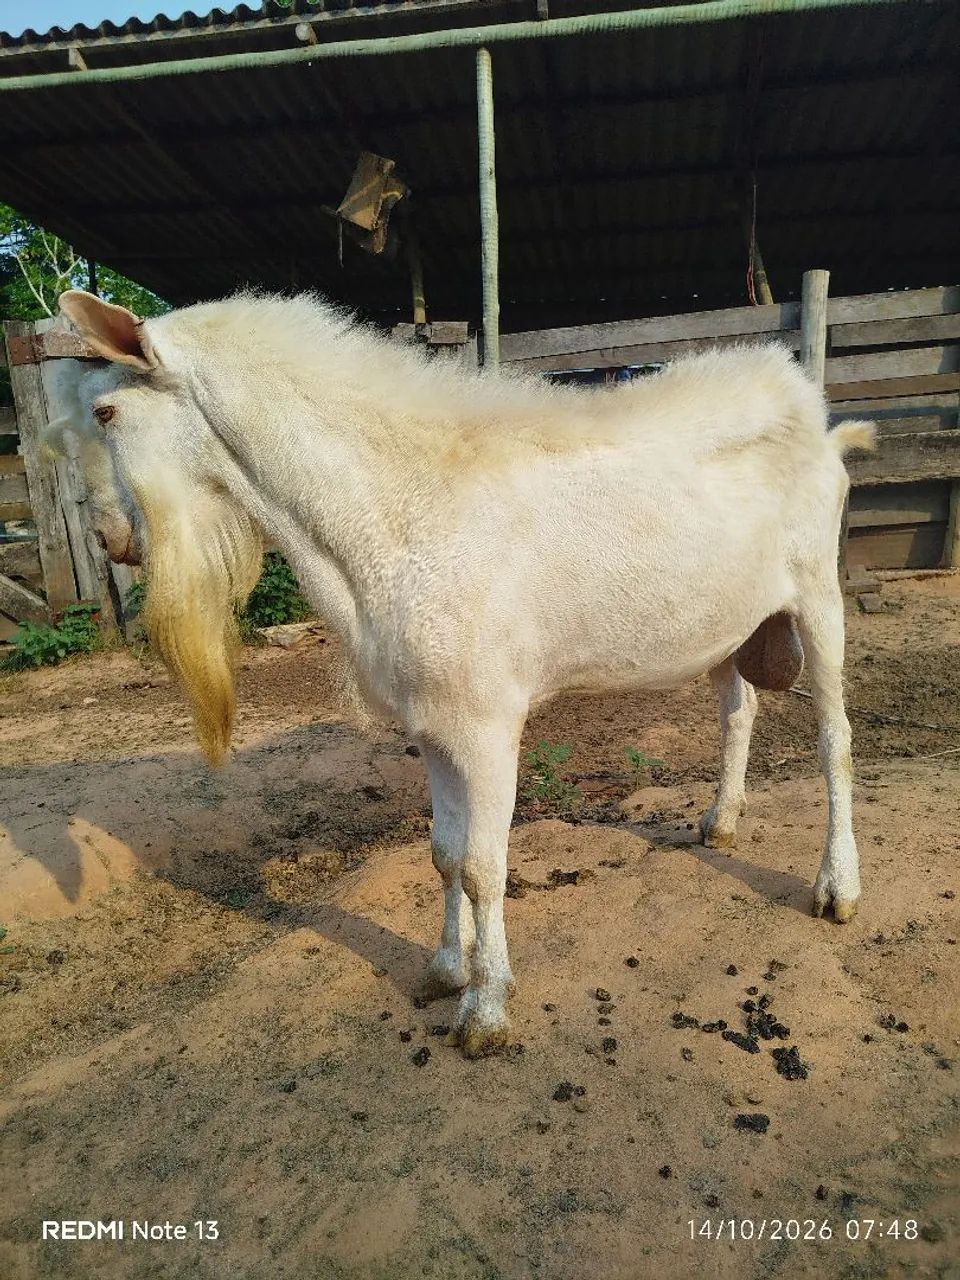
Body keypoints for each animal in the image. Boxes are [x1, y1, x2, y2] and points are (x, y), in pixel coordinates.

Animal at [58, 288, 874, 1058]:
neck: (399, 508)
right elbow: (444, 854)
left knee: (835, 738)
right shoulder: (433, 722)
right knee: (739, 710)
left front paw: (485, 1010)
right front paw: (446, 969)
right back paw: (721, 822)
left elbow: (484, 866)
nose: (106, 538)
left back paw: (837, 887)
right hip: (729, 625)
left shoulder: (486, 723)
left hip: (818, 597)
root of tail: (812, 415)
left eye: (105, 410)